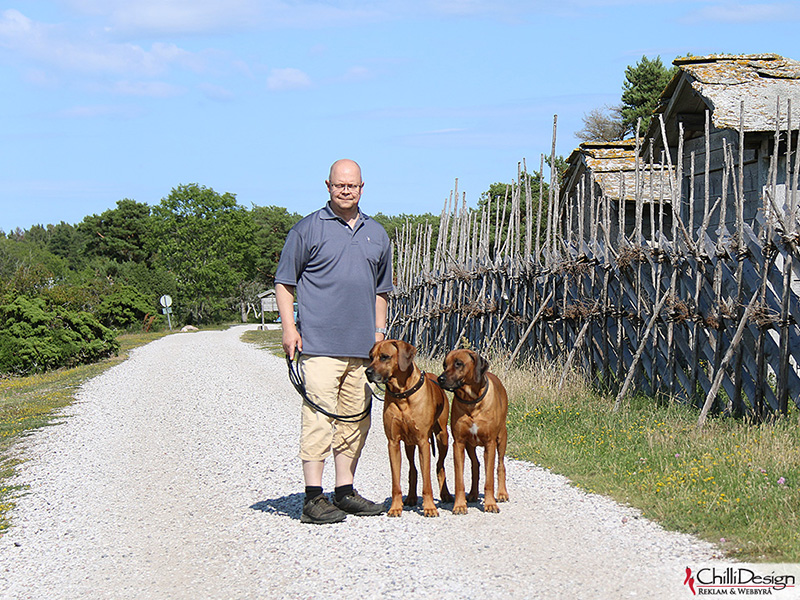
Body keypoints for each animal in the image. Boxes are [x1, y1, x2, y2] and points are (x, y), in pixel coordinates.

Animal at [368, 340, 454, 516]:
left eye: (384, 356)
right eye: (371, 357)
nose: (367, 372)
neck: (402, 394)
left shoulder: (423, 442)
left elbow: (427, 481)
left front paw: (430, 507)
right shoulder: (393, 443)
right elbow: (396, 481)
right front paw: (395, 507)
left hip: (442, 437)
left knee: (439, 466)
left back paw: (445, 494)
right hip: (409, 443)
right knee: (413, 469)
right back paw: (411, 497)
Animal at [438, 350, 506, 512]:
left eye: (458, 363)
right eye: (444, 364)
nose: (440, 379)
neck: (471, 401)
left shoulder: (490, 443)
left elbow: (489, 479)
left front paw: (490, 504)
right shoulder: (459, 443)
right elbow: (459, 479)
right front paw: (459, 505)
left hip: (502, 438)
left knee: (501, 465)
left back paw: (501, 493)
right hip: (470, 445)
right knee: (475, 465)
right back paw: (473, 494)